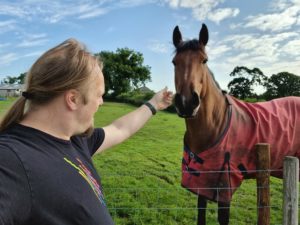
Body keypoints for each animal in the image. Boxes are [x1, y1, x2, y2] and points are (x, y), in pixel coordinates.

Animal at [172, 23, 300, 225]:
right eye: (174, 62)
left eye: (204, 61)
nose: (186, 103)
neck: (216, 125)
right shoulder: (202, 184)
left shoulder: (225, 187)